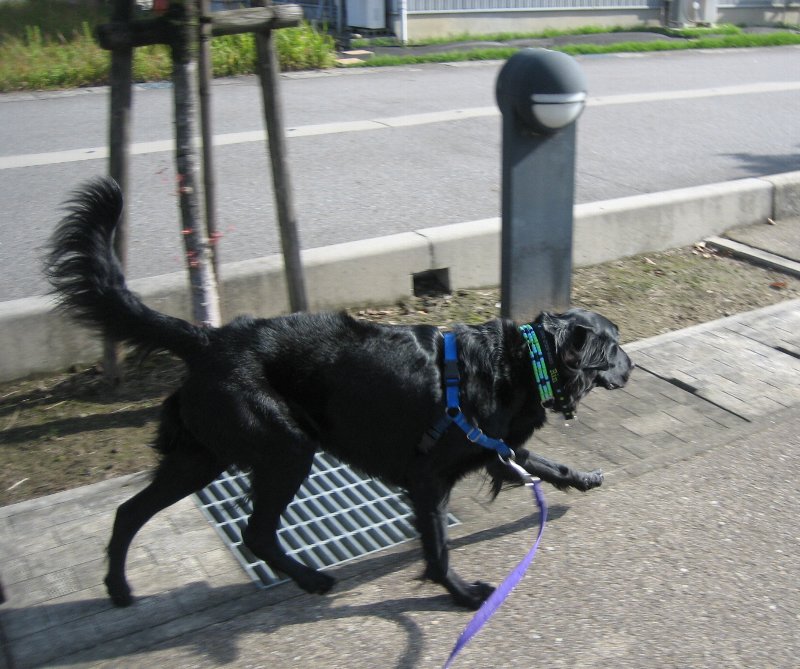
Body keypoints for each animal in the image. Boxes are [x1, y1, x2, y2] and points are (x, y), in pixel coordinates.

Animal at [46, 177, 633, 610]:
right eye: (615, 345)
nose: (631, 369)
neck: (519, 359)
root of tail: (208, 338)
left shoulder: (493, 446)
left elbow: (545, 464)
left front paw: (581, 479)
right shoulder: (427, 478)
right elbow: (439, 548)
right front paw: (463, 594)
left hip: (201, 455)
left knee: (129, 513)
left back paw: (119, 589)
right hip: (284, 447)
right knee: (254, 533)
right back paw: (311, 580)